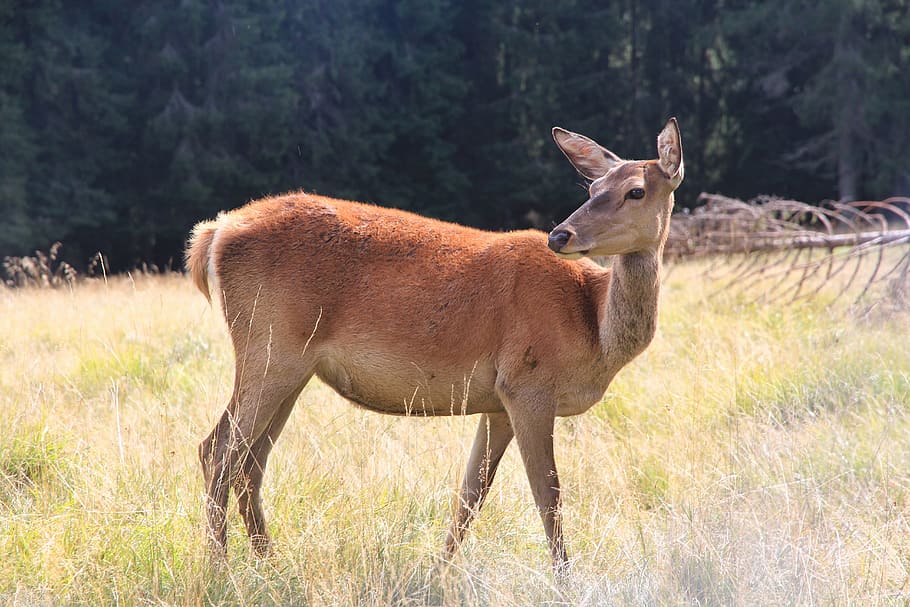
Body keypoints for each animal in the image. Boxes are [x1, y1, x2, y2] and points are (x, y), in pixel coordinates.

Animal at [186, 118, 683, 571]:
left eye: (635, 191)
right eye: (593, 186)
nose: (560, 234)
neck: (593, 330)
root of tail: (213, 235)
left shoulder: (497, 402)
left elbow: (471, 493)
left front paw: (440, 572)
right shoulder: (528, 384)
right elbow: (549, 495)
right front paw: (565, 579)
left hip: (293, 367)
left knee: (251, 462)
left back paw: (269, 563)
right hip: (269, 346)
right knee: (218, 450)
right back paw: (219, 570)